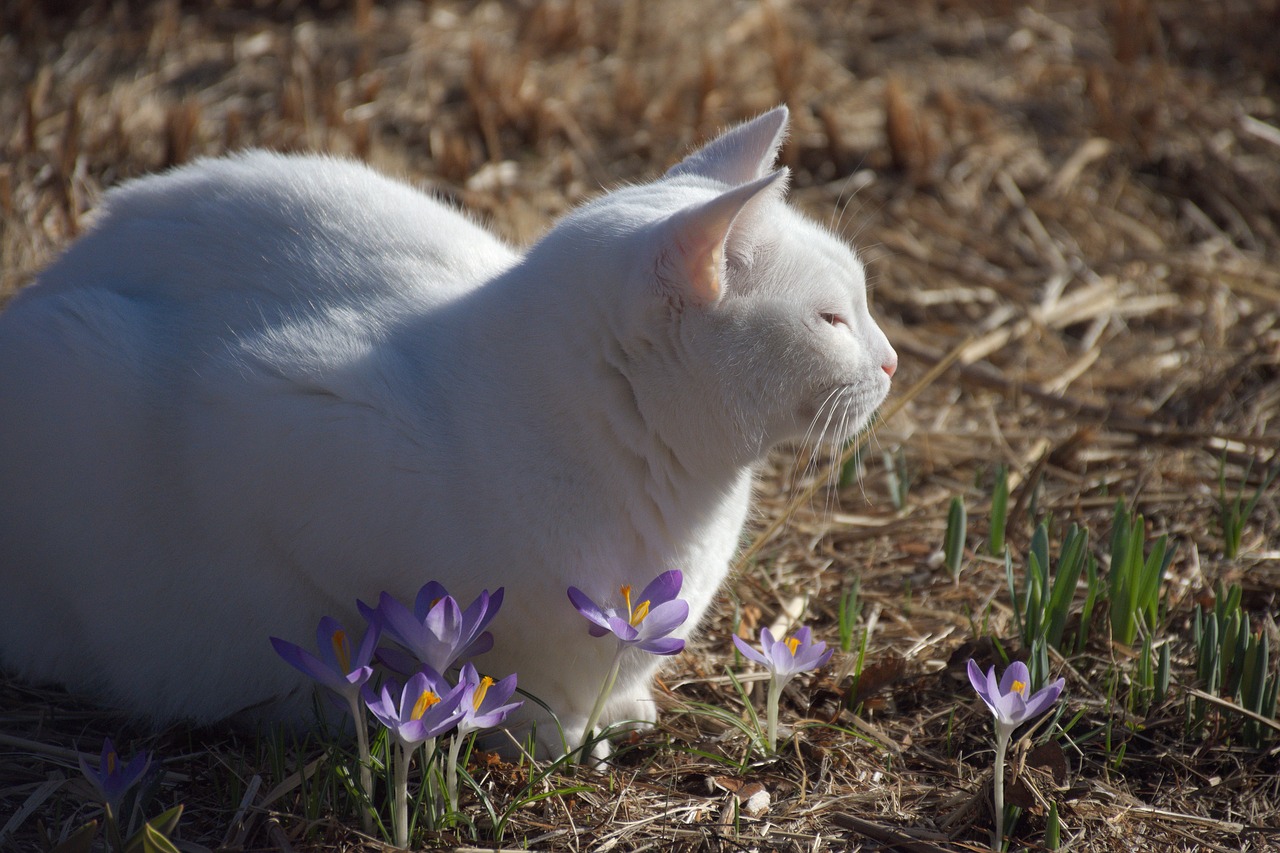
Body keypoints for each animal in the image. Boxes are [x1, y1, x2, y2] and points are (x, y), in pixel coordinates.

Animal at [0, 108, 901, 753]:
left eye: (860, 300)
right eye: (832, 319)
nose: (893, 361)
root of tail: (66, 262)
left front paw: (613, 711)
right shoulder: (271, 422)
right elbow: (384, 640)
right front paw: (512, 722)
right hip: (70, 361)